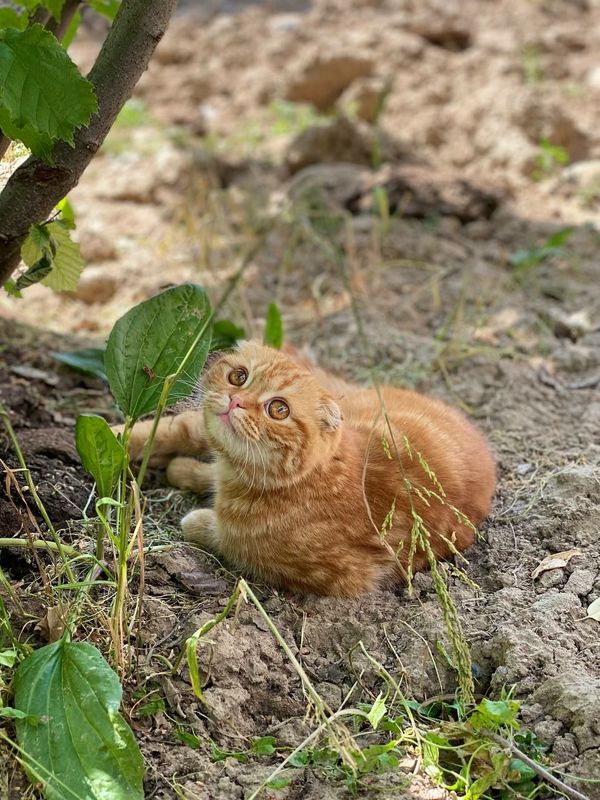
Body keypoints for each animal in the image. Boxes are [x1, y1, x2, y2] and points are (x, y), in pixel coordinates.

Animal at [124, 340, 494, 596]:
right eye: (238, 376)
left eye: (278, 409)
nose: (236, 401)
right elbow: (166, 430)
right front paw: (118, 438)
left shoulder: (331, 574)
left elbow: (221, 534)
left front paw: (199, 516)